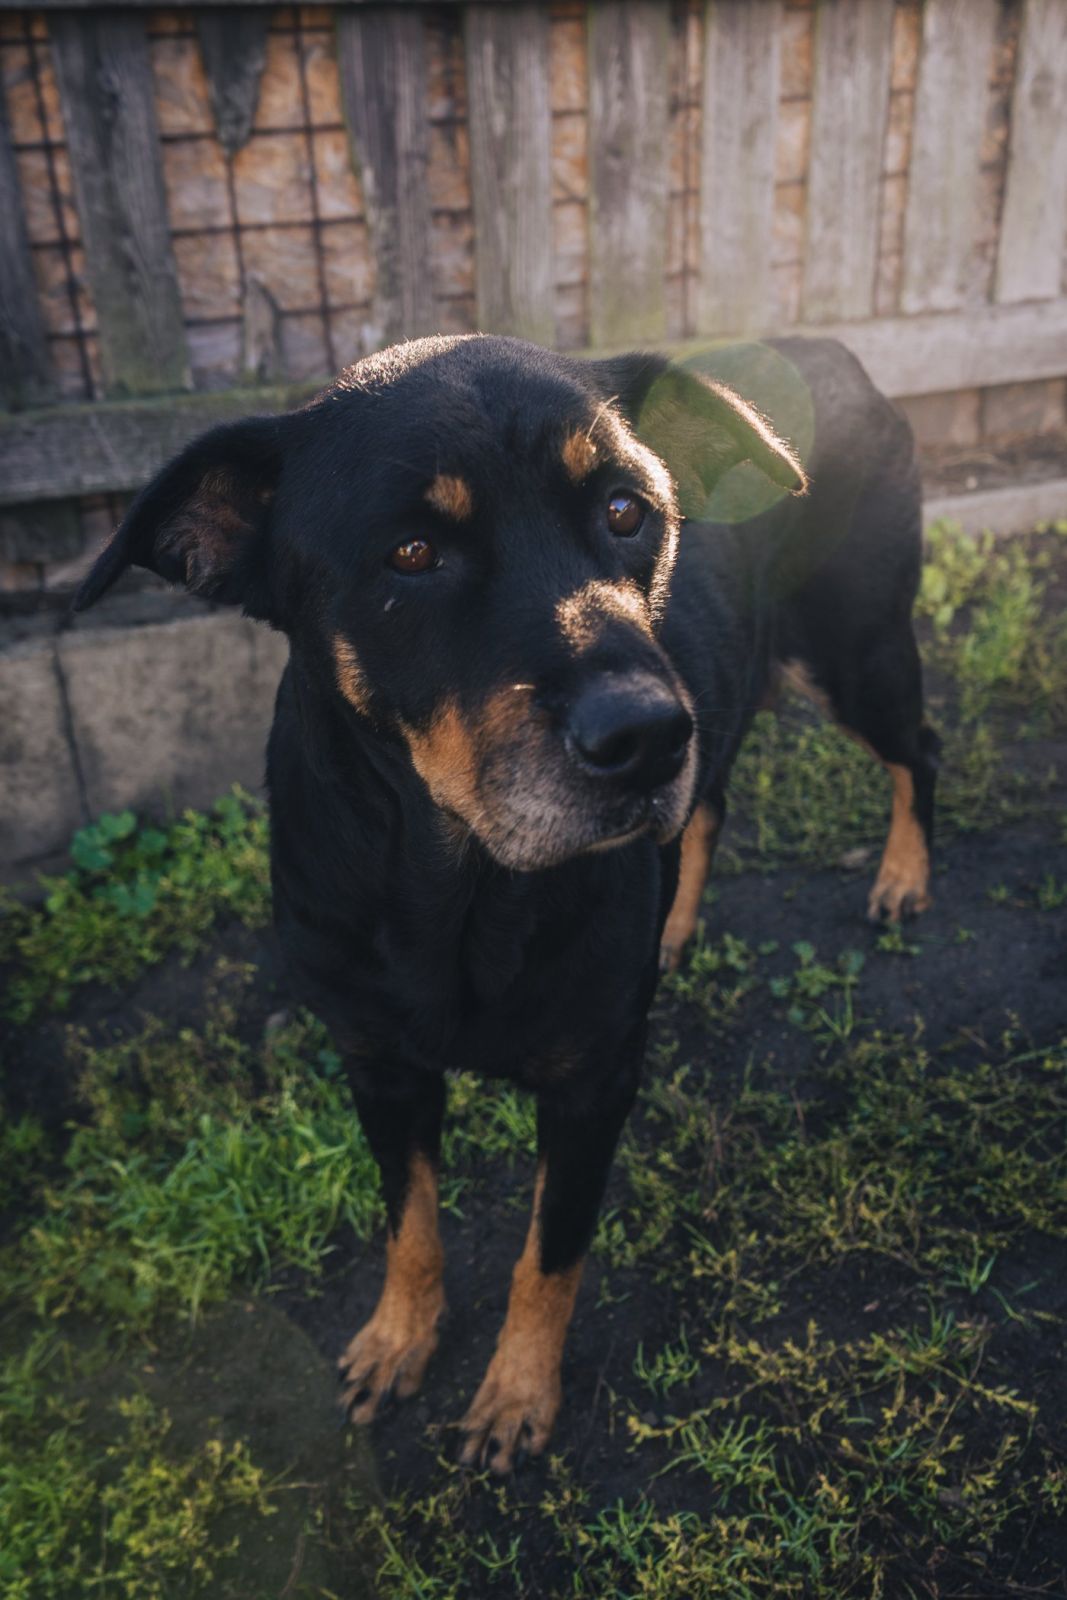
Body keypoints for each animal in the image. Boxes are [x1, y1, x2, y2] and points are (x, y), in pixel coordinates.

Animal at [74, 333, 938, 1473]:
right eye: (410, 553)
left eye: (625, 510)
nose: (645, 737)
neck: (458, 883)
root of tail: (834, 345)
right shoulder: (378, 1062)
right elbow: (409, 1223)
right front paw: (398, 1341)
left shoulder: (591, 1085)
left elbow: (548, 1257)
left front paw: (516, 1395)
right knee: (710, 801)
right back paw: (674, 924)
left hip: (852, 649)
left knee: (912, 753)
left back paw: (902, 876)